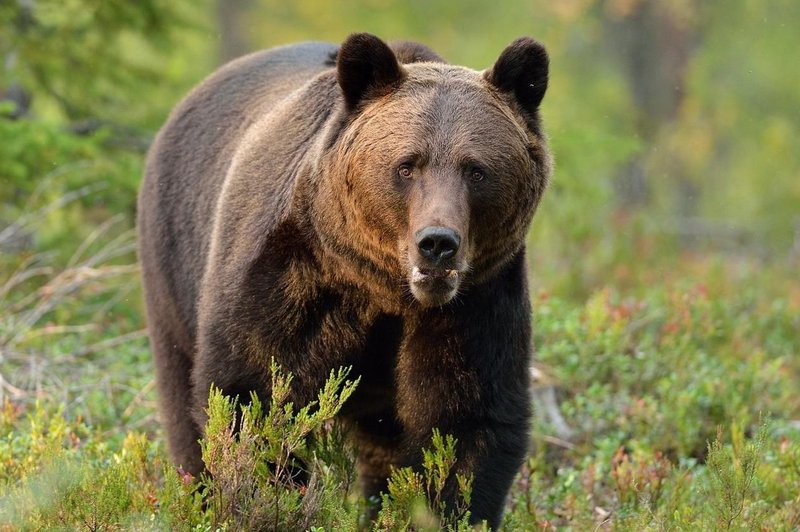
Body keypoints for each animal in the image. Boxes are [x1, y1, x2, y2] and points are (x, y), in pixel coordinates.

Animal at [138, 33, 552, 528]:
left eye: (476, 169)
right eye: (407, 166)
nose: (437, 243)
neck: (385, 291)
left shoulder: (477, 302)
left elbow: (463, 423)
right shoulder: (294, 280)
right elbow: (252, 396)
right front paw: (269, 497)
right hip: (174, 264)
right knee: (182, 403)